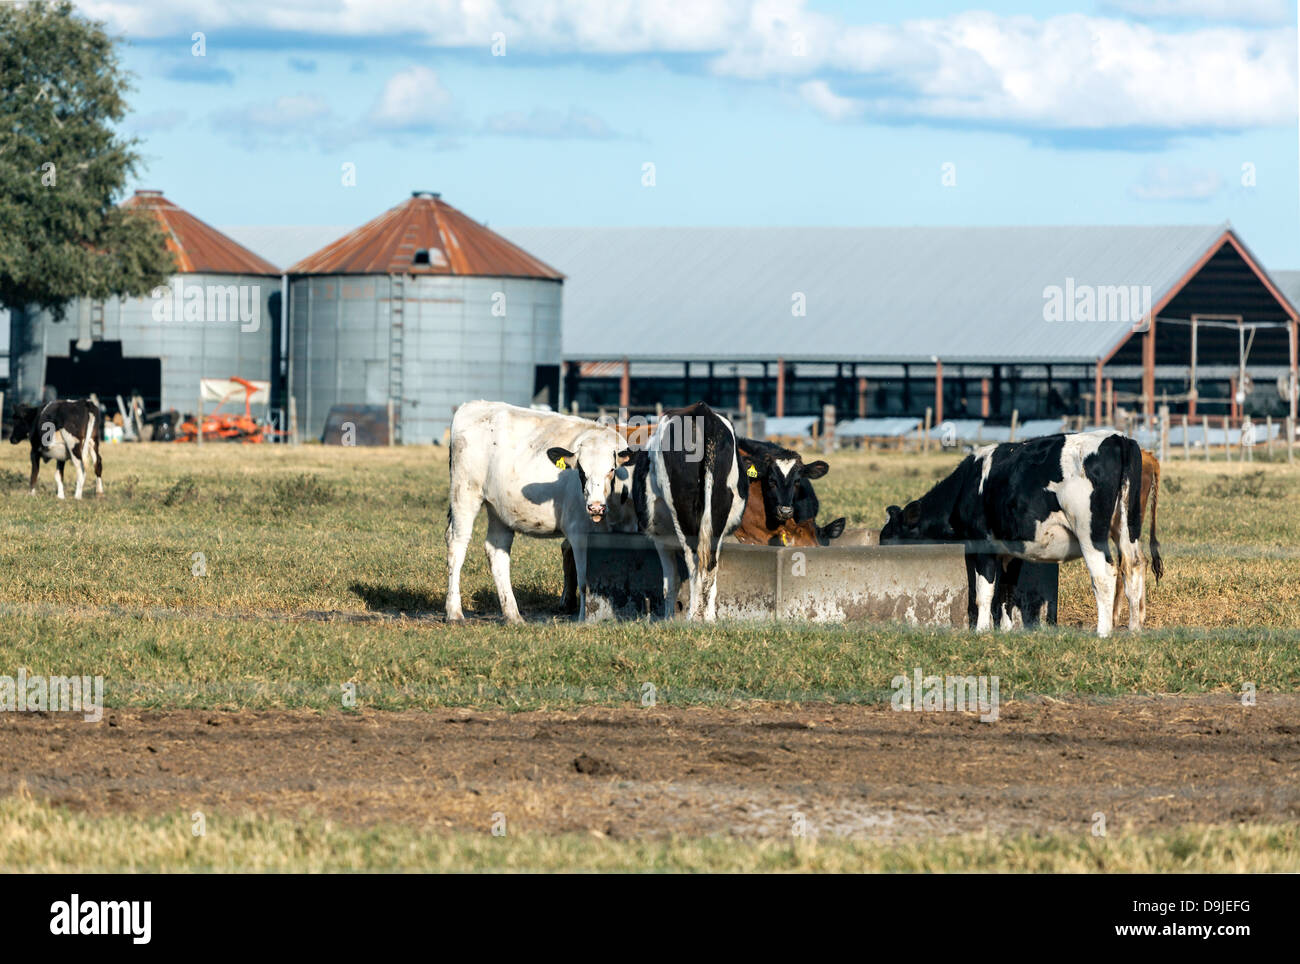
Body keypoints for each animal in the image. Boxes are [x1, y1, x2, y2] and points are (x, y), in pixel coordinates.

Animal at [444, 401, 630, 623]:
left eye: (611, 469)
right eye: (581, 471)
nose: (595, 506)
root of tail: (472, 405)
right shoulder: (578, 532)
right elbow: (585, 579)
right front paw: (584, 619)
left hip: (499, 509)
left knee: (497, 551)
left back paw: (513, 615)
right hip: (465, 494)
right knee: (457, 544)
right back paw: (454, 612)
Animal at [627, 402, 747, 621]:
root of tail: (702, 411)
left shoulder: (661, 539)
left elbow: (670, 583)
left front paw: (668, 618)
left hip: (683, 512)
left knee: (694, 561)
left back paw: (693, 616)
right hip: (718, 510)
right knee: (709, 565)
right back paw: (708, 618)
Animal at [880, 431, 1145, 637]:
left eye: (889, 538)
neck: (966, 485)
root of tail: (1116, 438)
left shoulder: (983, 544)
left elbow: (984, 592)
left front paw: (981, 630)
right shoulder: (1011, 550)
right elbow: (1007, 591)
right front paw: (1007, 630)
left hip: (1089, 532)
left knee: (1104, 574)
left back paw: (1103, 632)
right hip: (1127, 528)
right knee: (1133, 567)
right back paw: (1134, 630)